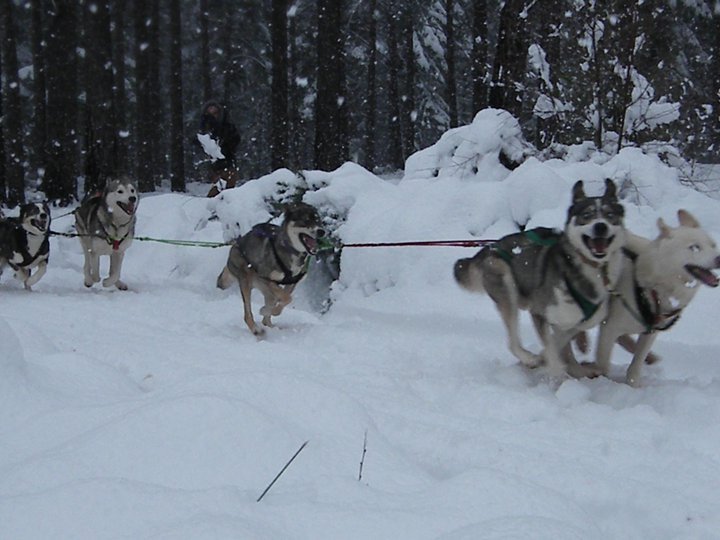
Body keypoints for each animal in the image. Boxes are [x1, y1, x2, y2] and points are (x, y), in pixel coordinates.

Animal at [215, 202, 324, 336]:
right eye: (306, 220)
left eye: (319, 221)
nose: (322, 231)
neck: (291, 250)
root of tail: (235, 244)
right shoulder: (267, 278)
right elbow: (287, 298)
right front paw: (268, 310)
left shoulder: (291, 284)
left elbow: (285, 299)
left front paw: (269, 311)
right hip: (246, 280)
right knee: (247, 314)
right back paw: (256, 329)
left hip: (266, 290)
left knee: (269, 308)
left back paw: (269, 322)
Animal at [452, 179, 628, 378]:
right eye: (587, 215)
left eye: (609, 215)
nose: (600, 226)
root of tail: (489, 247)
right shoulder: (539, 312)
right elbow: (552, 349)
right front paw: (556, 372)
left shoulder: (574, 322)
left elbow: (561, 343)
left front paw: (572, 364)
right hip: (506, 286)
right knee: (513, 342)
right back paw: (530, 359)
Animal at [584, 209, 720, 386]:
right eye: (695, 247)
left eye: (713, 245)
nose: (719, 258)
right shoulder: (610, 328)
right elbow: (604, 363)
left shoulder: (650, 333)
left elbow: (635, 365)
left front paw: (633, 385)